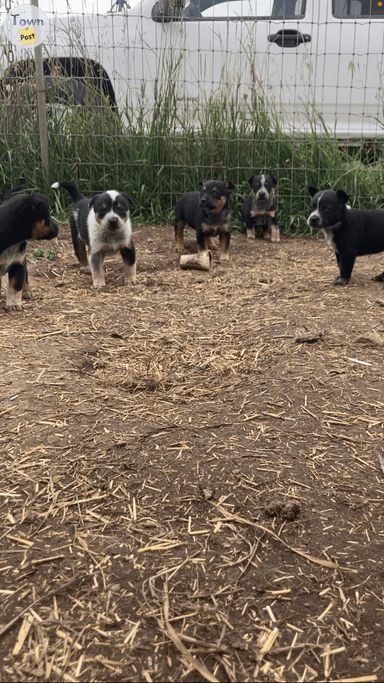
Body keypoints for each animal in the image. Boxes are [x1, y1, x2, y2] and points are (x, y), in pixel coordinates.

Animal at [0, 182, 58, 310]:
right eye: (48, 215)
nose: (58, 228)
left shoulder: (18, 263)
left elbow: (15, 287)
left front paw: (14, 305)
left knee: (25, 277)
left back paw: (27, 293)